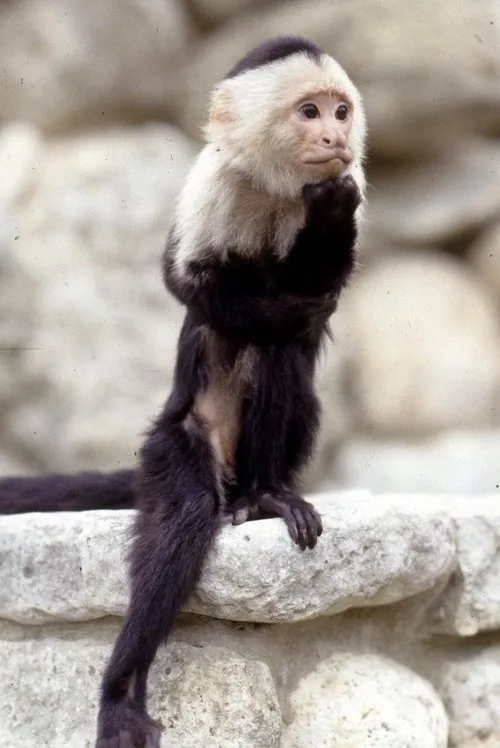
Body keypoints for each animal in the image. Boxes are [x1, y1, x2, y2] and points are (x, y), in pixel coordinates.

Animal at [0, 35, 367, 748]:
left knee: (281, 369)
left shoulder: (356, 181)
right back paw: (120, 693)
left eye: (341, 111)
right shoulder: (212, 184)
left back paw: (266, 494)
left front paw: (327, 212)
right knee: (187, 513)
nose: (335, 135)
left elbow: (318, 288)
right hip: (174, 445)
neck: (278, 188)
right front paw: (271, 296)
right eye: (309, 112)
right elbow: (189, 283)